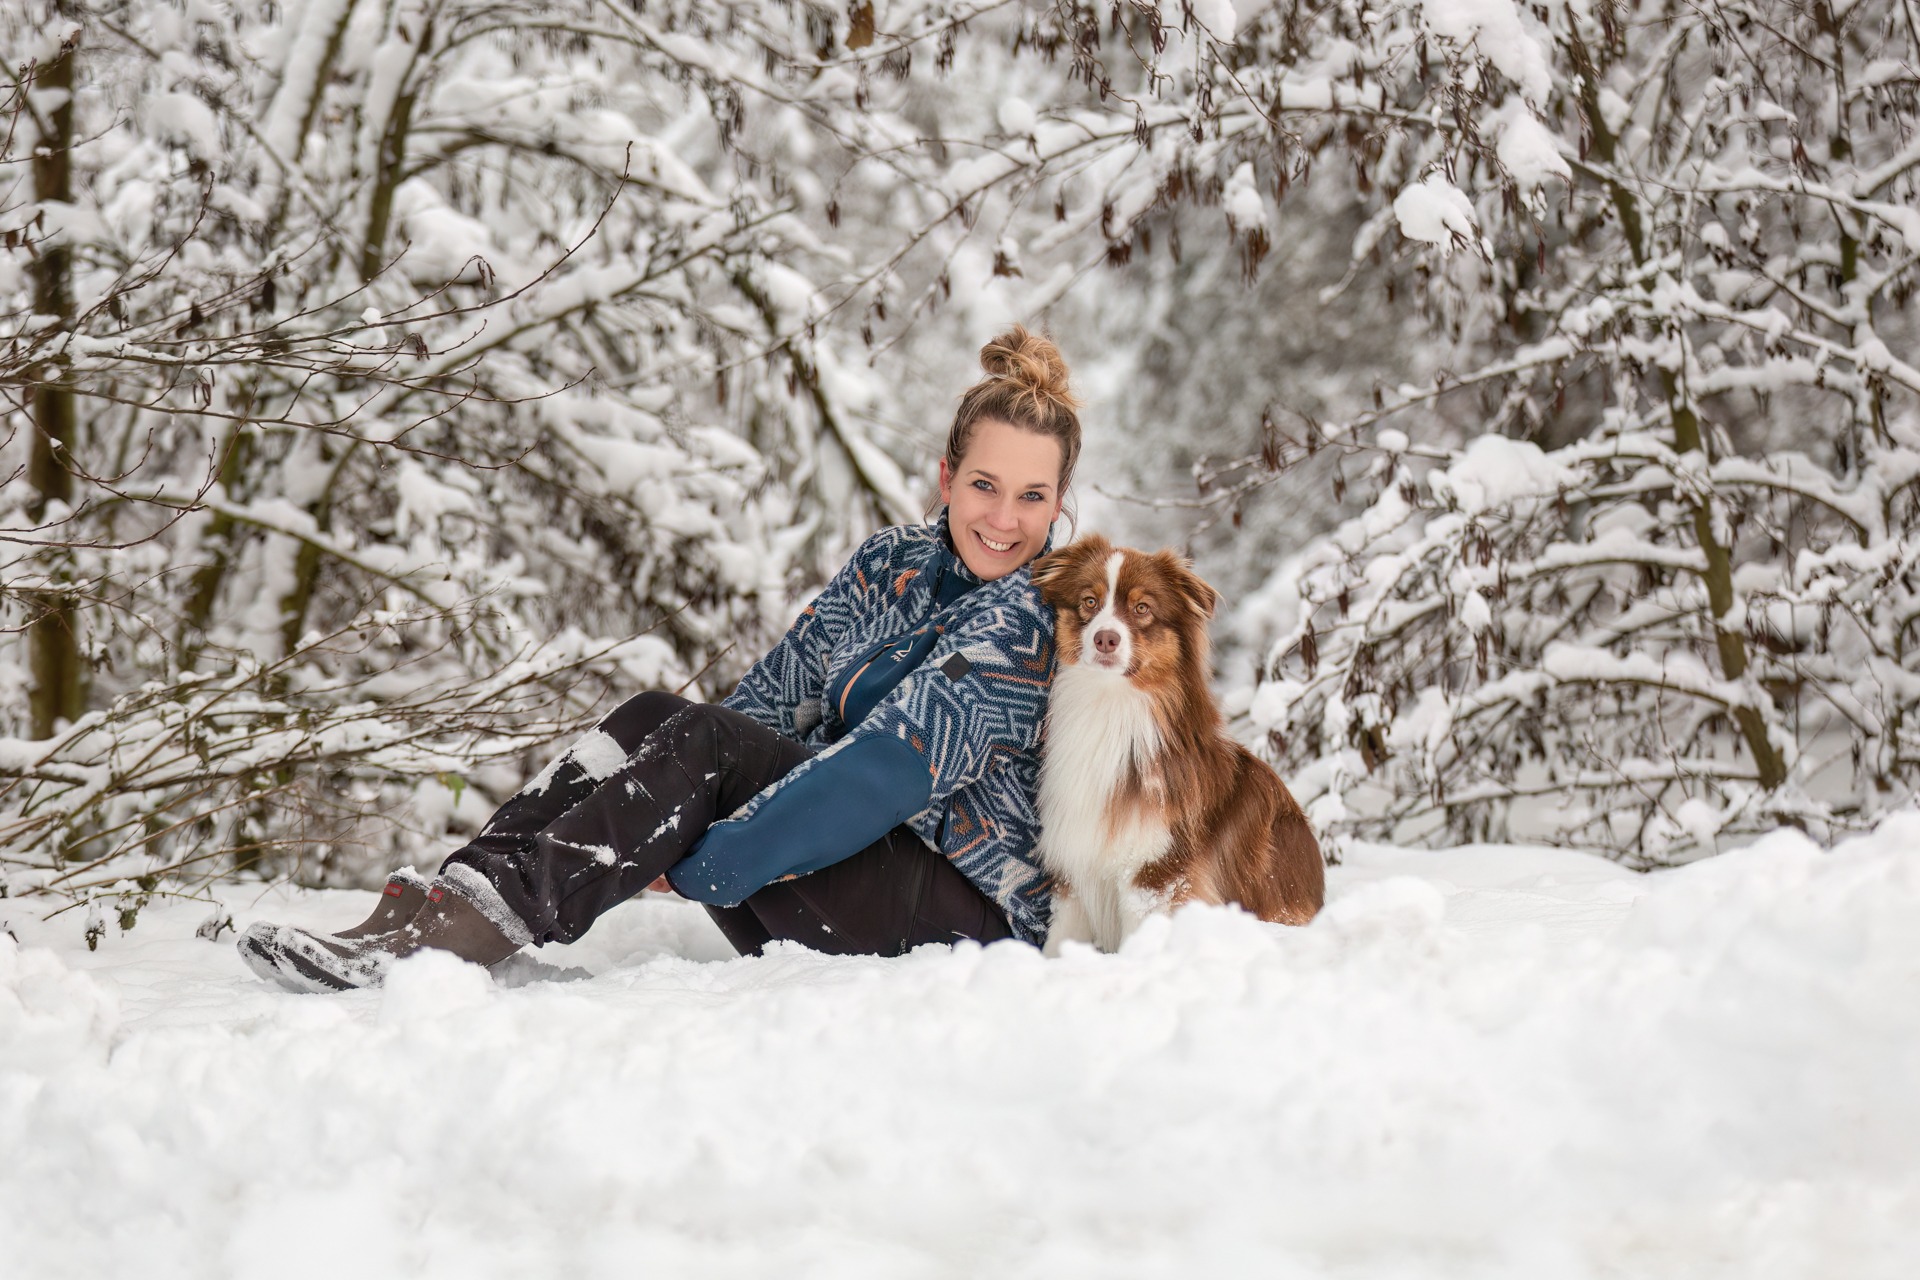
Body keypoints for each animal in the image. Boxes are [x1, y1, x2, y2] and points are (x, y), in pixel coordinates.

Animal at [1029, 537, 1328, 955]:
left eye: (1142, 608)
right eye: (1089, 601)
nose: (1106, 638)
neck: (1111, 705)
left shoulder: (1156, 872)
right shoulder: (1075, 866)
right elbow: (1059, 942)